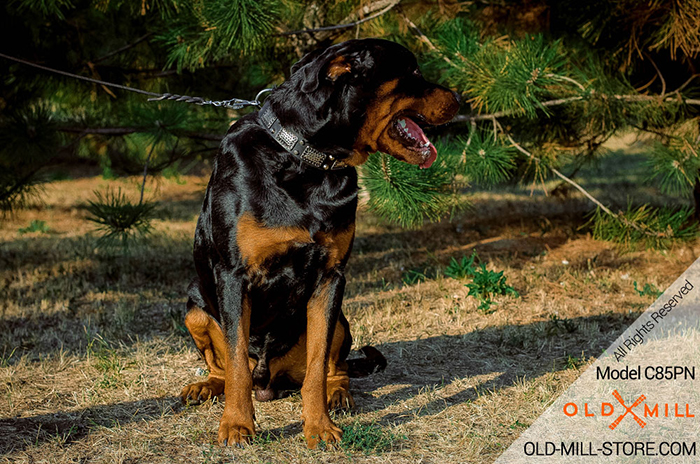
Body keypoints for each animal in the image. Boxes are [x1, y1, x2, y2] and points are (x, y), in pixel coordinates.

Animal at [182, 40, 460, 450]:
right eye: (412, 73)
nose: (459, 98)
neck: (306, 161)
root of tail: (271, 382)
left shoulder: (330, 278)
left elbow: (316, 365)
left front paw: (319, 426)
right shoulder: (232, 276)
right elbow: (235, 364)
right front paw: (237, 424)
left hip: (342, 318)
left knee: (336, 366)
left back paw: (338, 394)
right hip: (194, 306)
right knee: (223, 367)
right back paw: (205, 387)